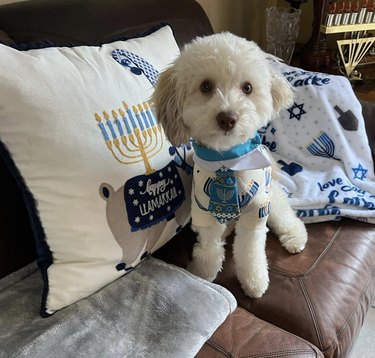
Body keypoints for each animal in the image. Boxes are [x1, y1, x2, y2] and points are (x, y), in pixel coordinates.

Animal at [153, 33, 308, 298]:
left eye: (247, 87)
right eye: (205, 86)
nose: (227, 118)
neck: (227, 161)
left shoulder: (256, 211)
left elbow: (250, 250)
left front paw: (254, 282)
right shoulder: (203, 211)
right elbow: (208, 246)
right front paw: (203, 273)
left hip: (273, 199)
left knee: (287, 218)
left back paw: (294, 238)